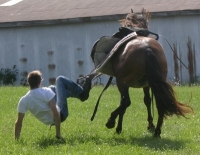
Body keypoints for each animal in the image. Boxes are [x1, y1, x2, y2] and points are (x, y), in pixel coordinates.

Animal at [82, 8, 193, 137]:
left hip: (122, 82)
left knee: (126, 102)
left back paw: (111, 121)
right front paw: (150, 125)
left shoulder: (125, 84)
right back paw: (157, 132)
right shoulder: (147, 85)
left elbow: (125, 104)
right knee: (159, 104)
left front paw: (118, 127)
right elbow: (147, 101)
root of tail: (148, 49)